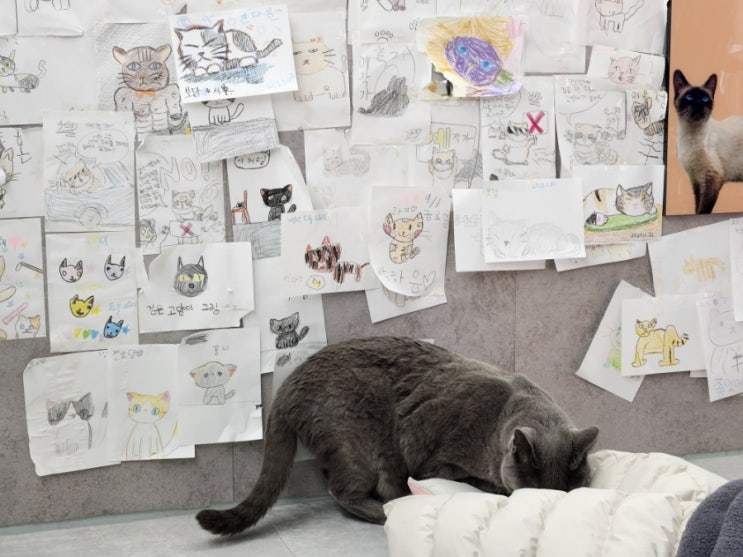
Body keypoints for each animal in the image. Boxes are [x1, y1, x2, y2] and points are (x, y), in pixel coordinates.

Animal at [195, 337, 599, 535]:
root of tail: (289, 385)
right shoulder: (440, 460)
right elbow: (474, 480)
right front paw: (494, 488)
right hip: (365, 443)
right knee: (344, 491)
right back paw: (385, 512)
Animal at [672, 70, 743, 214]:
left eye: (705, 98)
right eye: (689, 97)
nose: (699, 104)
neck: (691, 135)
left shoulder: (712, 177)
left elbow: (703, 210)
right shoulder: (696, 179)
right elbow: (696, 208)